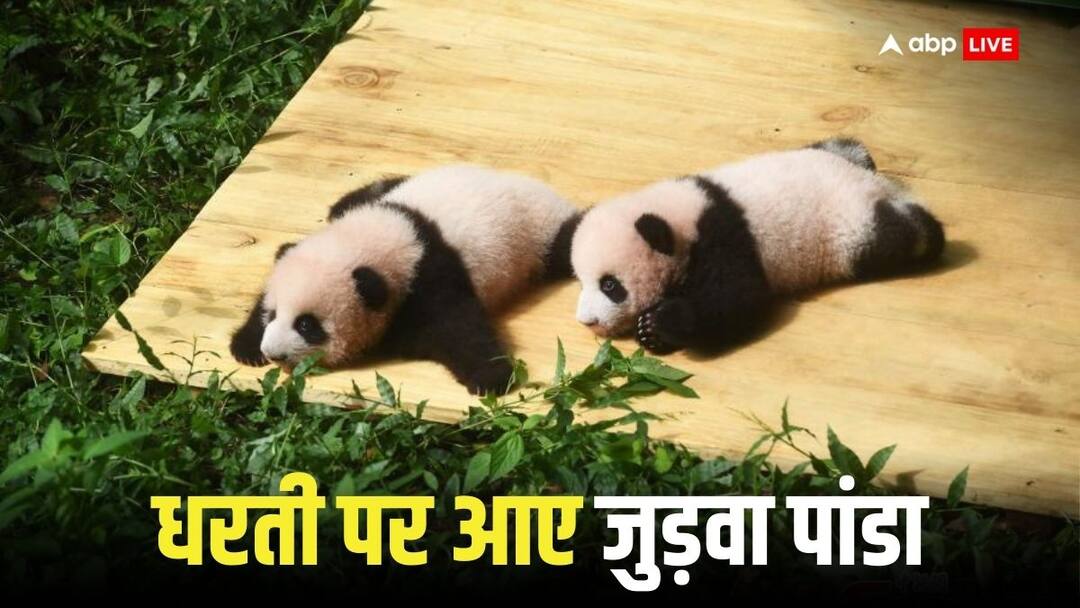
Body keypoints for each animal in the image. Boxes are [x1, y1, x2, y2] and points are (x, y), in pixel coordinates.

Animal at [229, 165, 581, 395]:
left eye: (306, 325)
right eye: (274, 314)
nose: (273, 353)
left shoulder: (428, 275)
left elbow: (459, 326)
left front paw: (491, 377)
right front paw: (245, 346)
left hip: (541, 236)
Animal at [570, 138, 945, 354]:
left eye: (610, 286)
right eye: (582, 281)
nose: (586, 321)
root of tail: (872, 182)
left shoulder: (723, 238)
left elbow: (738, 298)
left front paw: (659, 323)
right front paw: (651, 331)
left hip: (850, 227)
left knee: (893, 237)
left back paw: (924, 229)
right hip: (830, 155)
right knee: (849, 145)